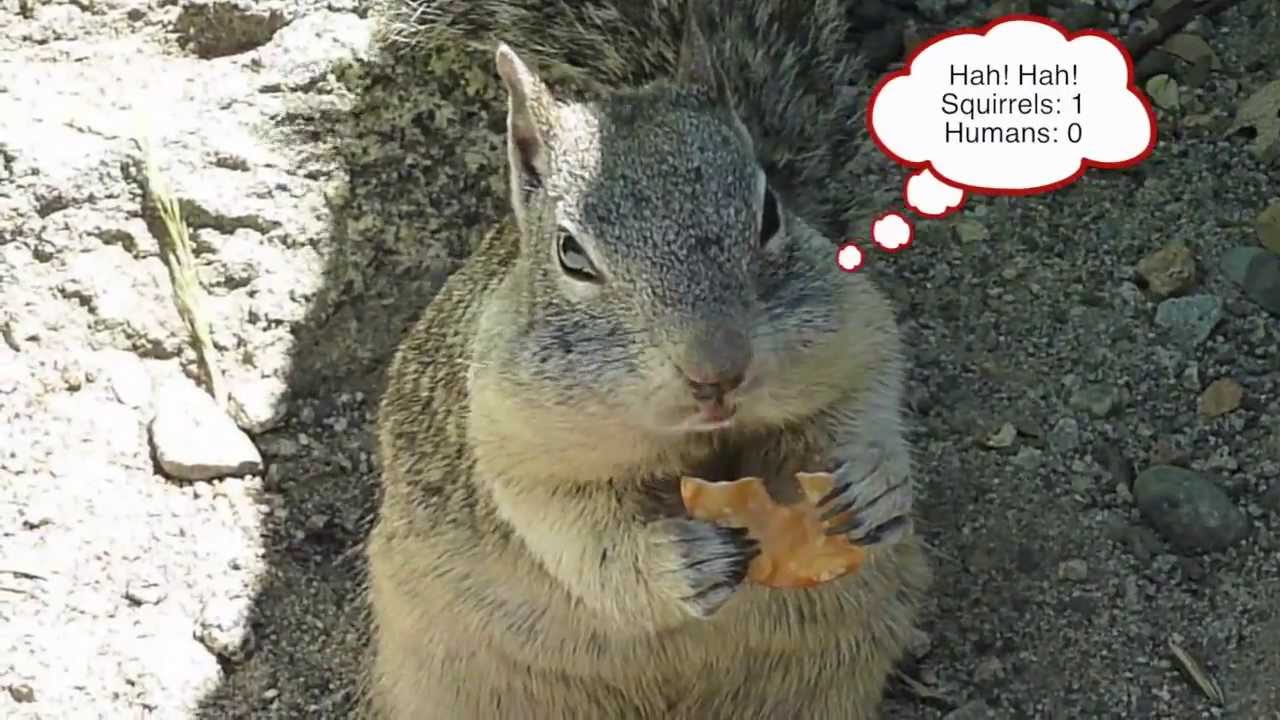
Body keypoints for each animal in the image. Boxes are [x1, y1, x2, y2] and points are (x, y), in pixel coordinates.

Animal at [363, 1, 932, 719]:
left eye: (770, 213)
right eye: (571, 254)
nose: (717, 371)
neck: (696, 441)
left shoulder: (854, 335)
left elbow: (869, 401)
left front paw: (873, 483)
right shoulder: (511, 443)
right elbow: (576, 535)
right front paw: (678, 564)